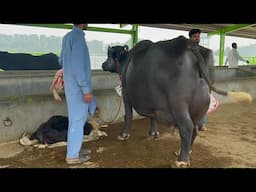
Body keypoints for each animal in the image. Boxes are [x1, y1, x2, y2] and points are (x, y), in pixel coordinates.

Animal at [102, 36, 252, 168]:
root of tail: (190, 46)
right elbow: (153, 116)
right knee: (195, 128)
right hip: (199, 107)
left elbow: (128, 115)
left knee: (187, 128)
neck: (126, 61)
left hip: (179, 104)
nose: (103, 65)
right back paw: (184, 151)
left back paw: (181, 161)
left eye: (108, 55)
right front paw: (153, 133)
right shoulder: (154, 103)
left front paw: (123, 135)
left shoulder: (126, 94)